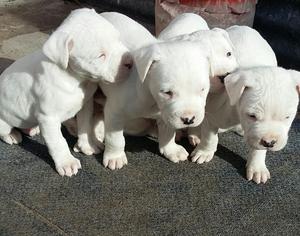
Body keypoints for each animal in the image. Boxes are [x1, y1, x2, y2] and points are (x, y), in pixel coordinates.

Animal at [0, 8, 132, 176]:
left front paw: (88, 144)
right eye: (101, 55)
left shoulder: (85, 104)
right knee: (5, 130)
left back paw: (30, 128)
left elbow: (85, 125)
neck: (75, 79)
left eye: (118, 38)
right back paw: (12, 135)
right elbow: (58, 142)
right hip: (3, 121)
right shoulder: (48, 118)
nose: (130, 62)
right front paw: (66, 162)